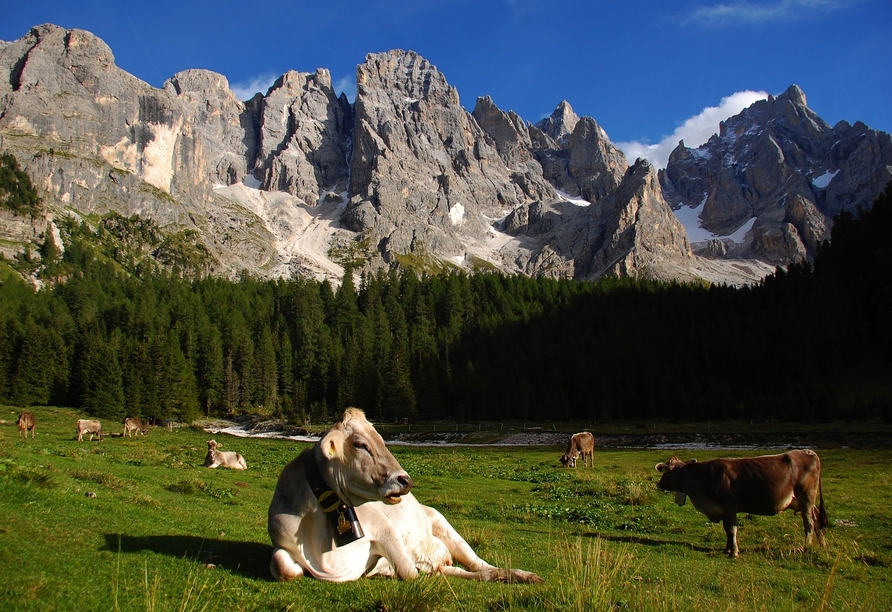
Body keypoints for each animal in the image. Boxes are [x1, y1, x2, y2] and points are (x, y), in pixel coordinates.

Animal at [264, 408, 544, 580]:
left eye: (381, 439)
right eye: (361, 444)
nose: (405, 480)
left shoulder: (385, 529)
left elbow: (408, 571)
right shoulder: (282, 541)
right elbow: (283, 567)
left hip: (444, 524)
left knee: (480, 564)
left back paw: (525, 575)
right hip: (445, 564)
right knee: (466, 572)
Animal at [656, 450, 828, 560]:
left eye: (664, 471)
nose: (659, 484)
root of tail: (809, 452)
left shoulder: (730, 505)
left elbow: (732, 529)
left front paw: (734, 552)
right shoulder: (724, 509)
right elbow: (726, 529)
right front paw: (727, 549)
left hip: (806, 498)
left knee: (809, 523)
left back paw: (806, 547)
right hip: (807, 502)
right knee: (817, 519)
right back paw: (822, 544)